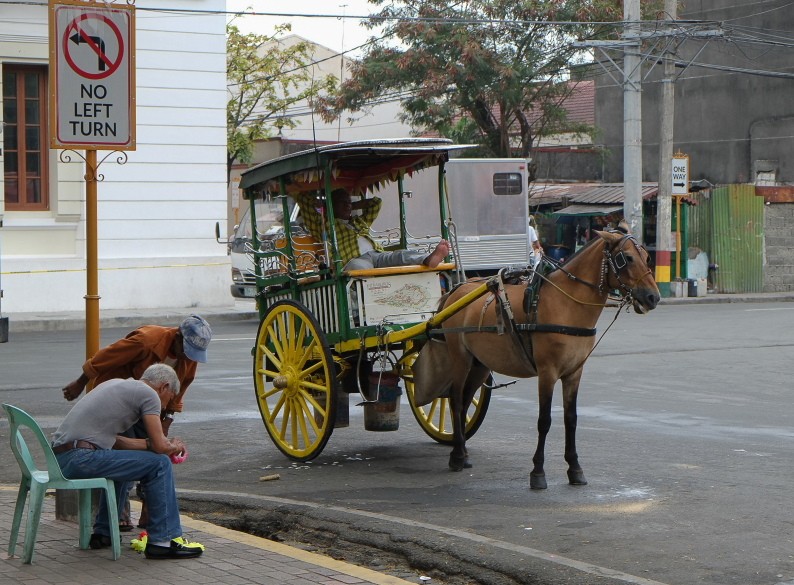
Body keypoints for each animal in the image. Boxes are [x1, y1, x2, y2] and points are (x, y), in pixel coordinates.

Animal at [430, 225, 660, 488]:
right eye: (627, 258)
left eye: (647, 257)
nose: (653, 297)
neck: (567, 303)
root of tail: (457, 290)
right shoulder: (547, 373)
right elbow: (544, 421)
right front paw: (538, 472)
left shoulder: (574, 373)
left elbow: (571, 419)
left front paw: (575, 468)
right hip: (461, 358)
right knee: (456, 400)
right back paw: (457, 455)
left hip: (480, 365)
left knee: (466, 400)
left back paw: (463, 451)